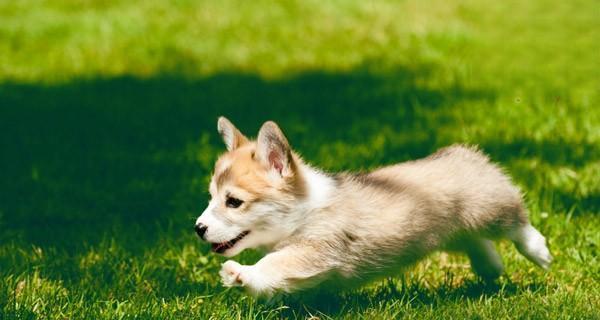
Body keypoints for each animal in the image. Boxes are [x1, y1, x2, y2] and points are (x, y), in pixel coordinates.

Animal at [193, 117, 552, 298]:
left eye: (234, 202)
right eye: (210, 197)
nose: (198, 229)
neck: (302, 211)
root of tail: (465, 153)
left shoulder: (316, 248)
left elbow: (274, 263)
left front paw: (240, 272)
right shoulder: (310, 271)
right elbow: (278, 279)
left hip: (488, 208)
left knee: (516, 223)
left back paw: (539, 252)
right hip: (450, 229)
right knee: (475, 241)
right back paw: (490, 267)